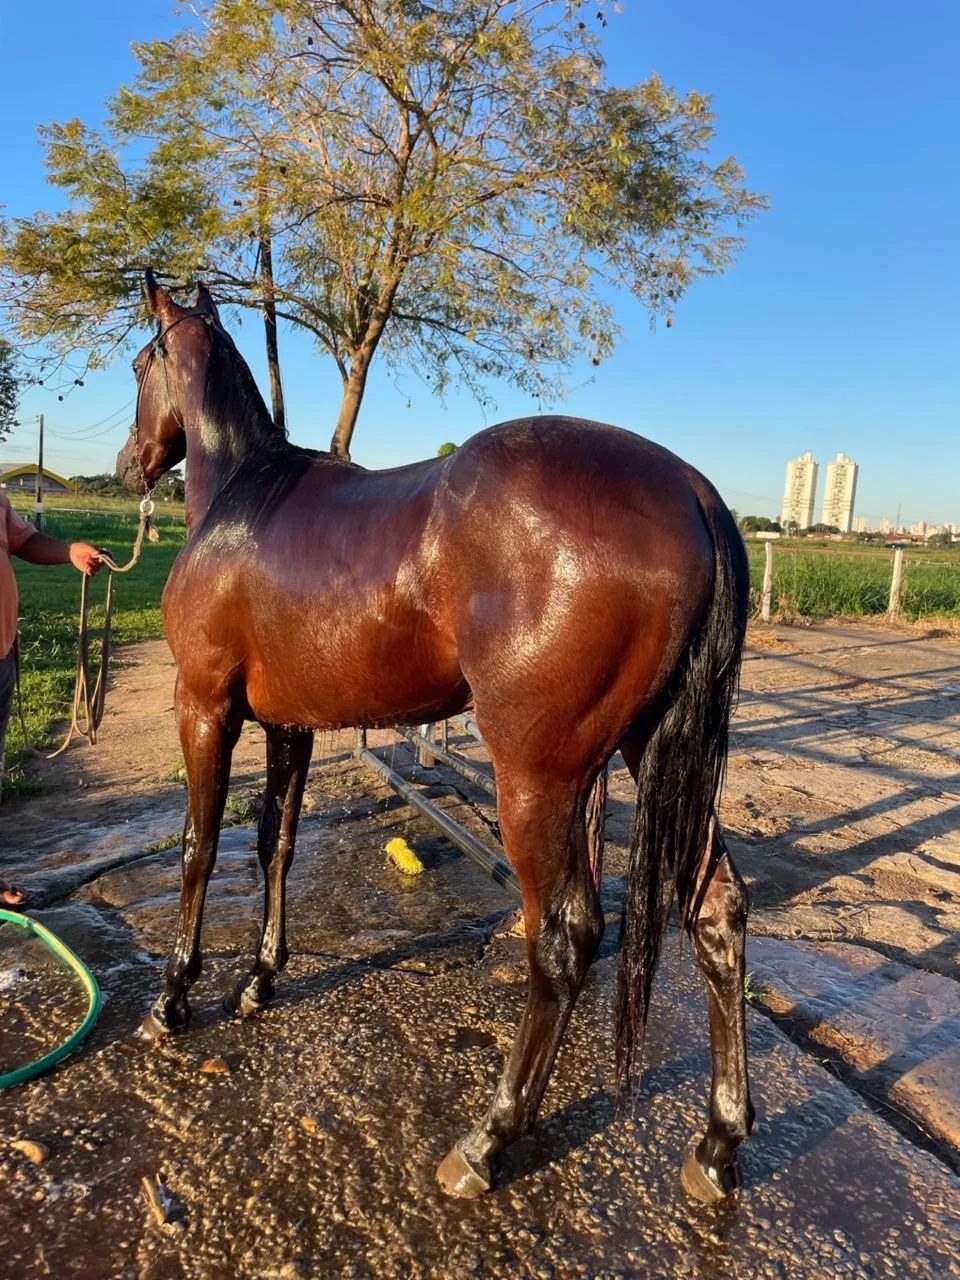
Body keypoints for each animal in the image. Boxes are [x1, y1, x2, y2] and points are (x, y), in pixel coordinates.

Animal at [117, 270, 753, 1204]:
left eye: (140, 363)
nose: (128, 465)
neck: (242, 501)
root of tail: (693, 491)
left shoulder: (203, 705)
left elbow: (200, 846)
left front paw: (174, 1000)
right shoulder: (290, 725)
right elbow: (276, 843)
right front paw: (260, 981)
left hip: (538, 779)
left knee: (565, 939)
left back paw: (487, 1141)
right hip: (663, 760)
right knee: (717, 915)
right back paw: (716, 1145)